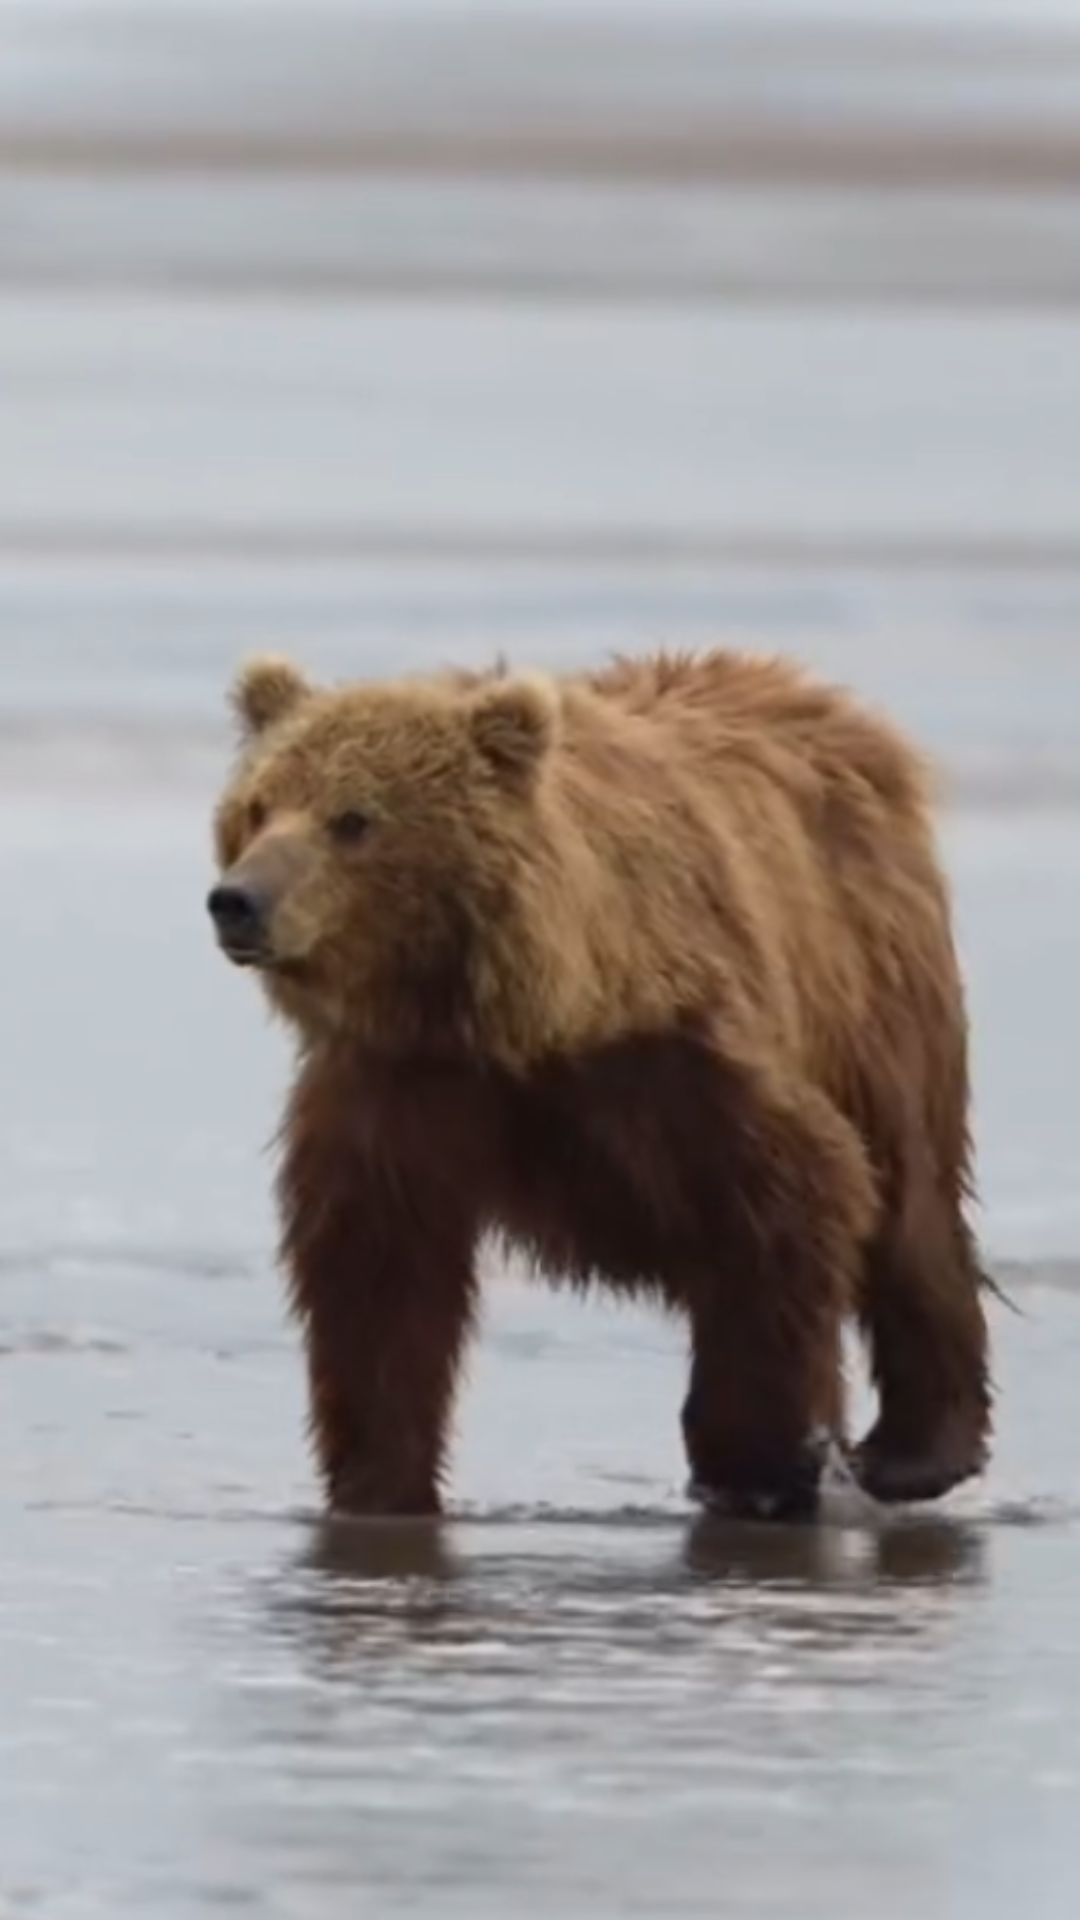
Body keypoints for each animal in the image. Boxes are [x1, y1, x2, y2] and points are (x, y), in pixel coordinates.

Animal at [208, 648, 991, 1520]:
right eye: (258, 806)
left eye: (353, 818)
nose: (238, 901)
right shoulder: (402, 1087)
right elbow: (379, 1280)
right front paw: (381, 1483)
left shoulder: (675, 1062)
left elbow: (792, 1210)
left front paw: (760, 1464)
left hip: (873, 991)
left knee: (910, 1208)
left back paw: (915, 1451)